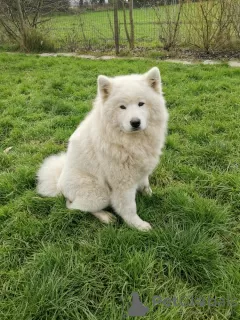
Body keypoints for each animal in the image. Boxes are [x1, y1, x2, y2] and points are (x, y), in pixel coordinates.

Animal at [37, 67, 169, 230]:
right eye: (122, 107)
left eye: (141, 104)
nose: (135, 122)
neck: (131, 141)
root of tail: (58, 183)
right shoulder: (122, 183)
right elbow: (128, 207)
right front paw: (138, 225)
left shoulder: (142, 168)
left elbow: (145, 183)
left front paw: (149, 194)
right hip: (100, 192)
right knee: (73, 206)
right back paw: (106, 217)